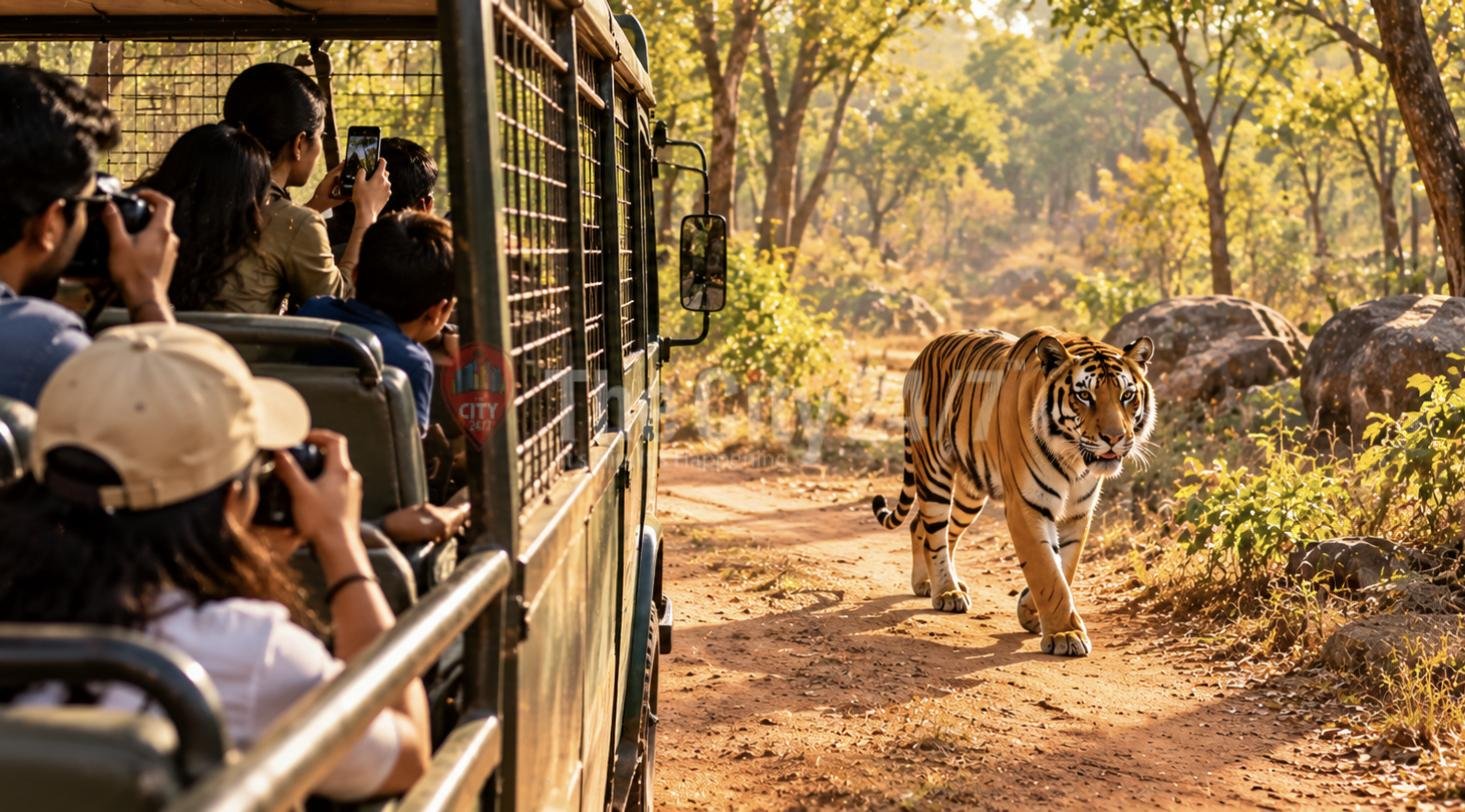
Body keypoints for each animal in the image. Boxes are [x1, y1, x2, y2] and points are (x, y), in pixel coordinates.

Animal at [870, 327, 1155, 657]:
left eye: (1127, 395)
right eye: (1084, 395)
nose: (1114, 437)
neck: (1073, 460)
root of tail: (926, 349)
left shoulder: (1078, 512)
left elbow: (1065, 567)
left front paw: (1031, 612)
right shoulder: (1027, 506)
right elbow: (1047, 571)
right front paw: (1065, 633)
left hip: (970, 493)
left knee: (924, 527)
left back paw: (928, 583)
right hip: (933, 469)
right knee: (935, 531)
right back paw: (947, 591)